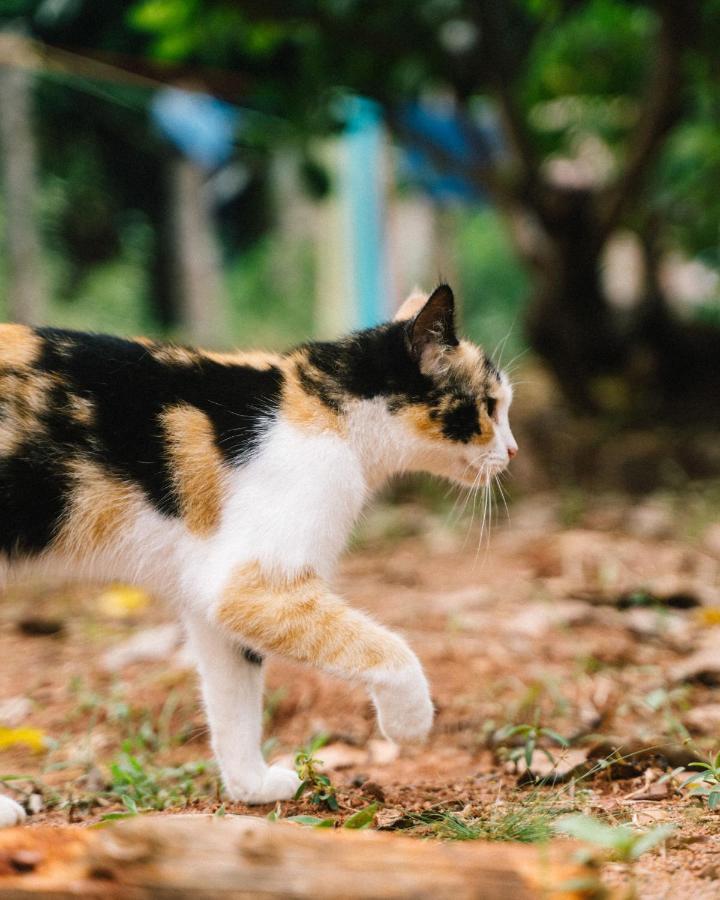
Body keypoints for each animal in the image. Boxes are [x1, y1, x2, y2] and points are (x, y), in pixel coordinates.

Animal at [0, 284, 516, 828]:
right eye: (490, 406)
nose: (513, 450)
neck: (325, 408)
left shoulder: (210, 596)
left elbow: (235, 700)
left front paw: (251, 787)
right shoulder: (253, 587)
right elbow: (393, 651)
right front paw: (410, 723)